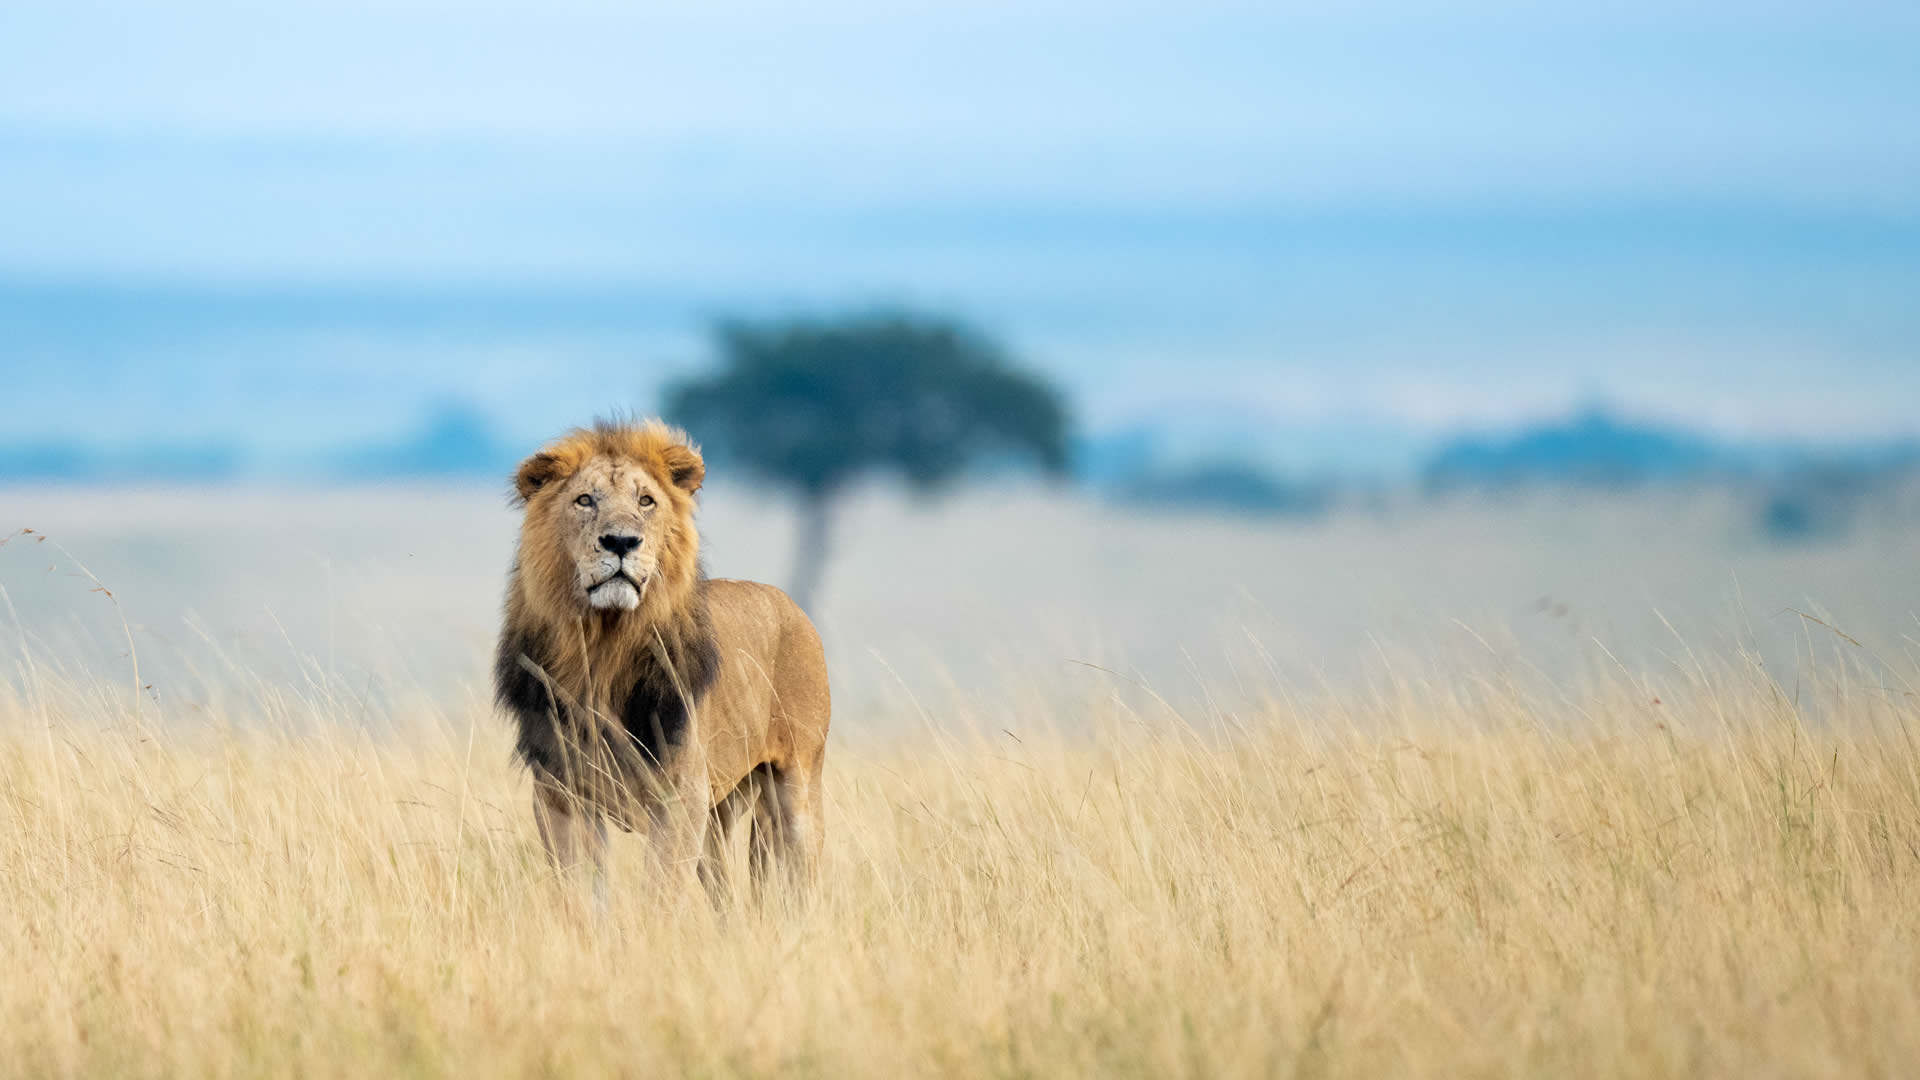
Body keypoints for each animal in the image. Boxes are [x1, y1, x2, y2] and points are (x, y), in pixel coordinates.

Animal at [491, 417, 829, 903]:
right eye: (584, 500)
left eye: (645, 501)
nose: (620, 542)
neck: (604, 650)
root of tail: (792, 605)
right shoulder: (561, 795)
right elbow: (581, 895)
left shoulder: (679, 796)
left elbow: (660, 893)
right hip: (718, 817)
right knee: (728, 898)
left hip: (796, 786)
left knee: (802, 876)